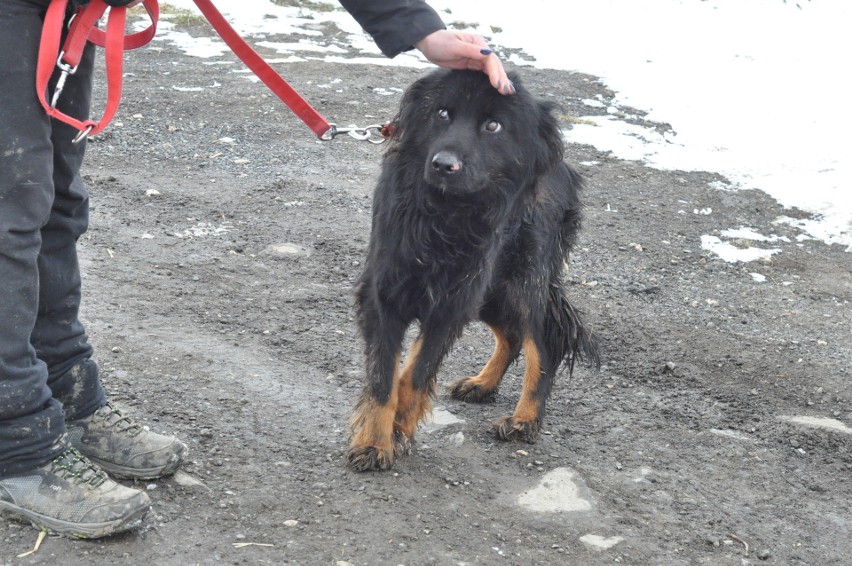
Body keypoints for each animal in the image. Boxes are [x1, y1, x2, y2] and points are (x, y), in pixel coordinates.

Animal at [348, 69, 600, 472]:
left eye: (493, 125)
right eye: (442, 113)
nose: (443, 164)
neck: (447, 213)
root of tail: (563, 166)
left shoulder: (452, 301)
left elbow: (417, 373)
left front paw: (398, 427)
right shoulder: (384, 295)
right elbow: (384, 376)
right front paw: (374, 442)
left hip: (520, 279)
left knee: (544, 343)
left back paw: (523, 419)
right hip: (492, 289)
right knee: (512, 335)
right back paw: (482, 384)